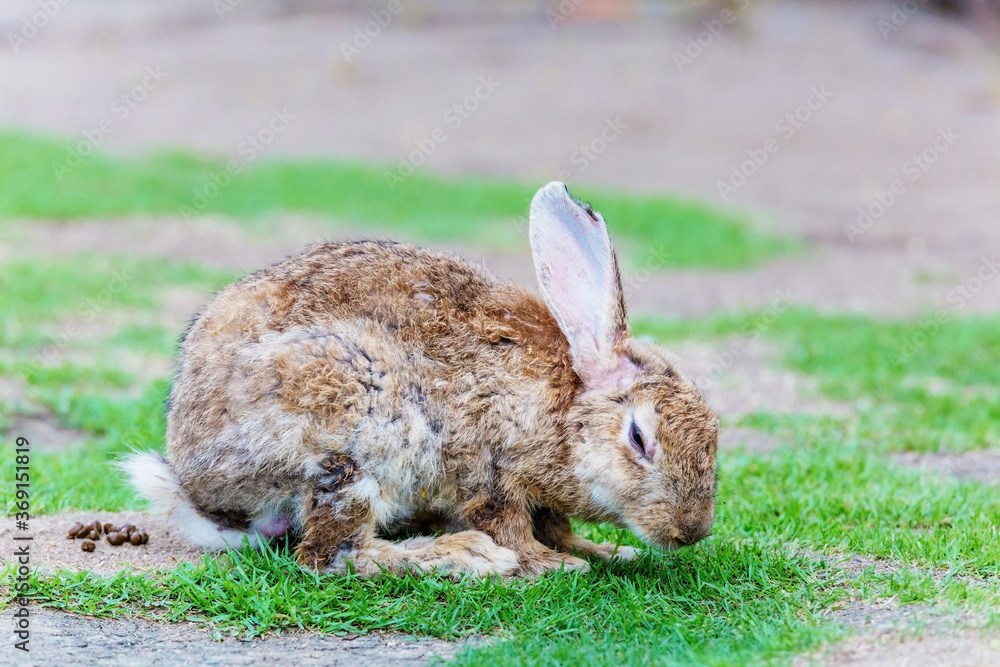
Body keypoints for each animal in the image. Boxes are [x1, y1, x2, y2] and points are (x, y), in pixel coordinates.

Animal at [122, 181, 718, 578]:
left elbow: (557, 525)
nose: (691, 531)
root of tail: (197, 491)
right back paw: (464, 556)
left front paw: (609, 552)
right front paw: (550, 565)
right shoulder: (487, 468)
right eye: (639, 438)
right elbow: (511, 523)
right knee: (334, 554)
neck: (566, 411)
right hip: (349, 428)